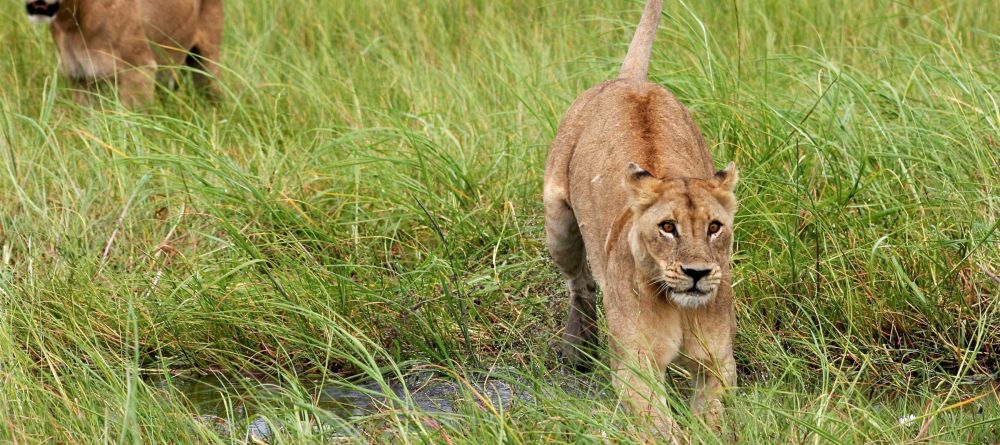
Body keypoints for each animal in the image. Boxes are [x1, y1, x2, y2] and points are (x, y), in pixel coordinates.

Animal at [544, 0, 740, 438]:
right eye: (667, 227)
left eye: (714, 228)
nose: (698, 273)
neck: (680, 307)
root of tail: (630, 80)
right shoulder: (636, 370)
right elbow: (663, 430)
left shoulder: (718, 365)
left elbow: (709, 421)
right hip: (558, 225)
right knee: (580, 284)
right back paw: (577, 349)